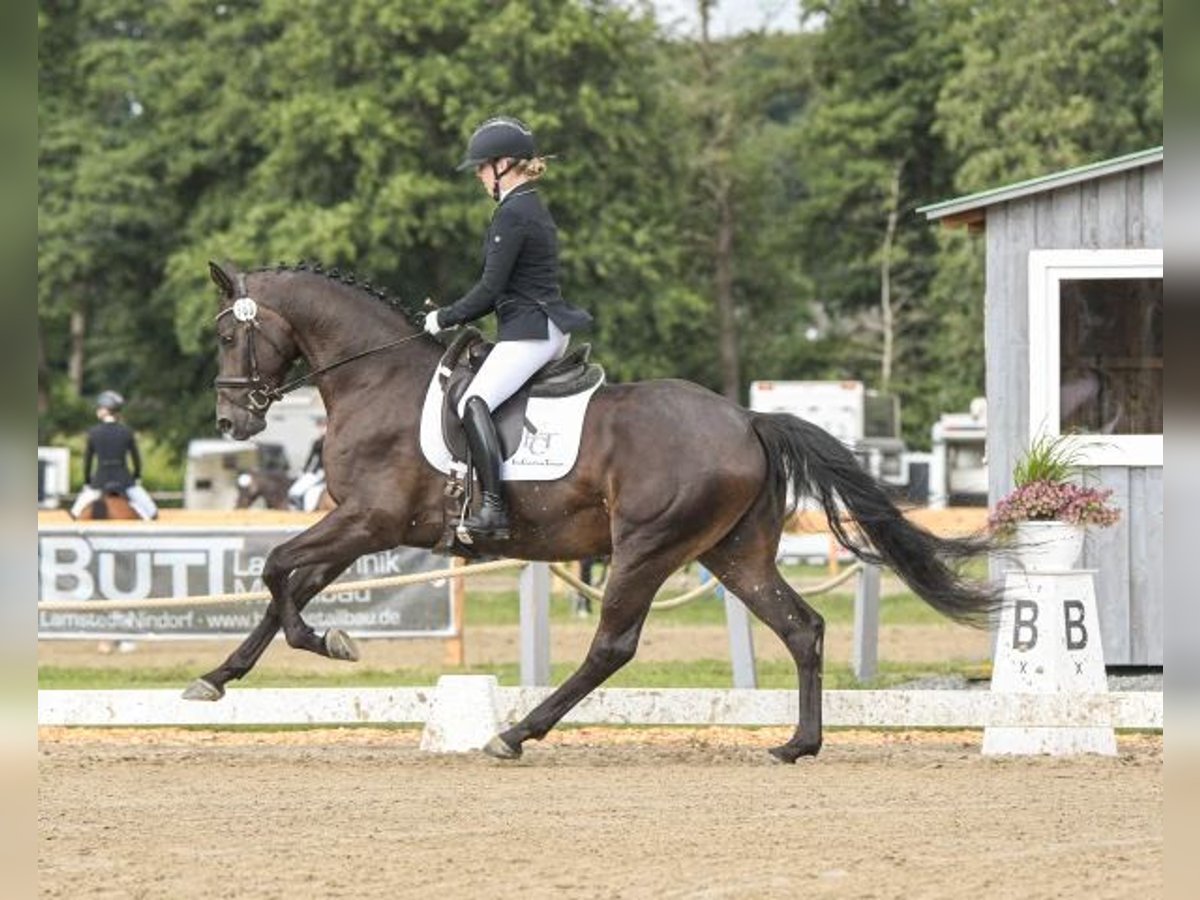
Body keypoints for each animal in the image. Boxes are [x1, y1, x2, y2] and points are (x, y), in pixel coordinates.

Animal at [187, 260, 998, 763]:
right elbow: (287, 583)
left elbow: (278, 572)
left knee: (613, 646)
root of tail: (747, 418)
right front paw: (219, 676)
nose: (231, 422)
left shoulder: (369, 520)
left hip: (647, 548)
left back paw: (516, 733)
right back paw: (799, 743)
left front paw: (328, 642)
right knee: (801, 627)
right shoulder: (359, 525)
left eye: (227, 334)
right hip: (733, 553)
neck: (375, 377)